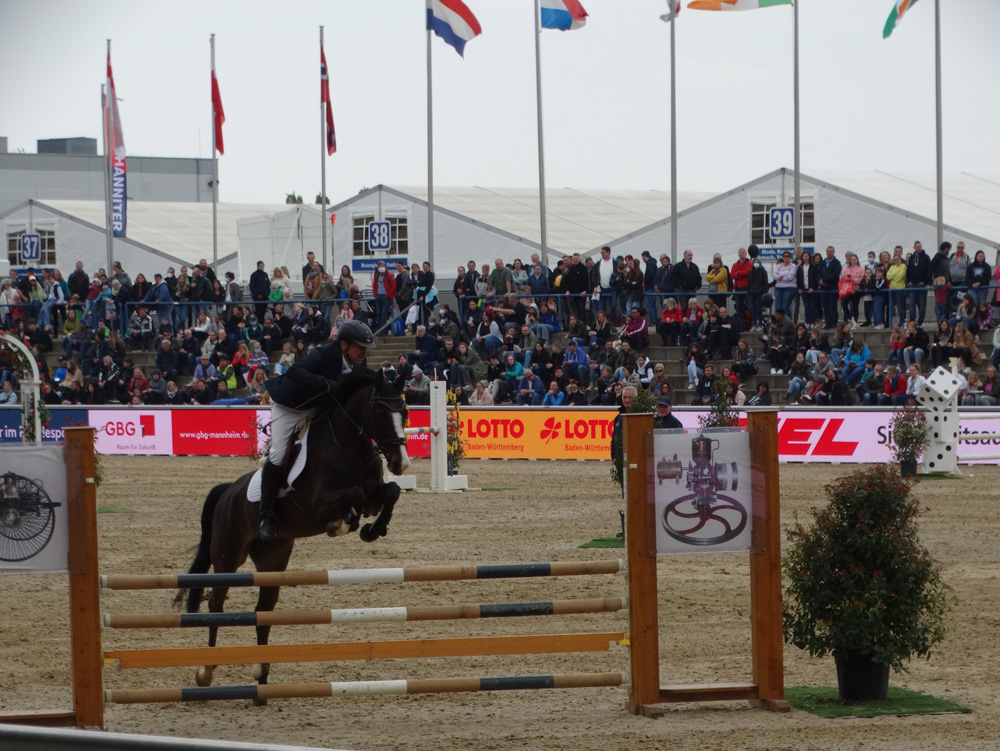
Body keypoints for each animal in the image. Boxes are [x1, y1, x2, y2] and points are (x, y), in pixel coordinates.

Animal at [174, 367, 409, 699]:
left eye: (405, 412)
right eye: (379, 410)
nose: (401, 463)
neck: (350, 447)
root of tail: (228, 492)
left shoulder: (375, 494)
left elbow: (390, 492)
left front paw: (373, 530)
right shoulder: (320, 503)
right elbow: (355, 496)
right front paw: (344, 523)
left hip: (272, 560)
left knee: (263, 610)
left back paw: (261, 677)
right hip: (228, 557)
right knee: (216, 606)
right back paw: (206, 673)